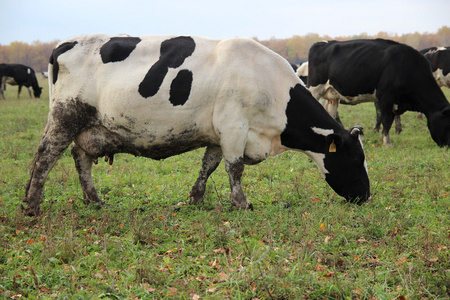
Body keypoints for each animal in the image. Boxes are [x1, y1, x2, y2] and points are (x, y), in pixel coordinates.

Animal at [22, 34, 370, 216]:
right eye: (356, 159)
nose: (367, 196)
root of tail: (64, 44)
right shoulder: (234, 127)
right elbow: (235, 168)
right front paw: (241, 203)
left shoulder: (218, 134)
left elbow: (209, 166)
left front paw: (195, 198)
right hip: (66, 116)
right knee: (45, 156)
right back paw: (32, 205)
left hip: (88, 127)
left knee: (80, 158)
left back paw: (93, 200)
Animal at [308, 39, 450, 147]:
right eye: (448, 124)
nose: (446, 145)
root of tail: (323, 42)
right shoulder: (386, 97)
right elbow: (387, 119)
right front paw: (387, 143)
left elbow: (387, 117)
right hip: (315, 89)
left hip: (333, 95)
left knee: (331, 114)